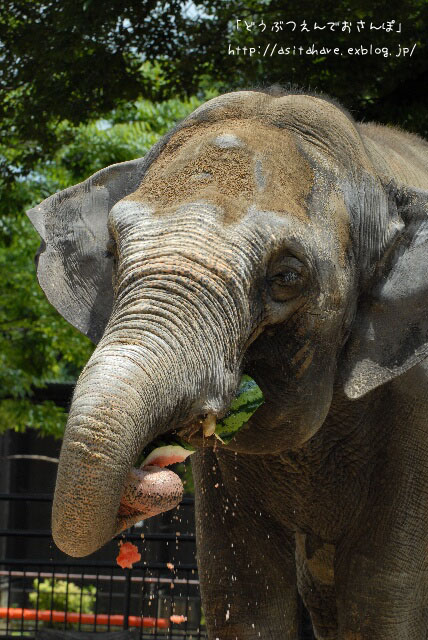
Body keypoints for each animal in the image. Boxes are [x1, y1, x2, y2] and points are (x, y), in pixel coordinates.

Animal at [27, 91, 428, 640]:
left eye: (287, 276)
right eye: (113, 251)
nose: (156, 468)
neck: (373, 164)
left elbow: (382, 594)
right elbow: (245, 589)